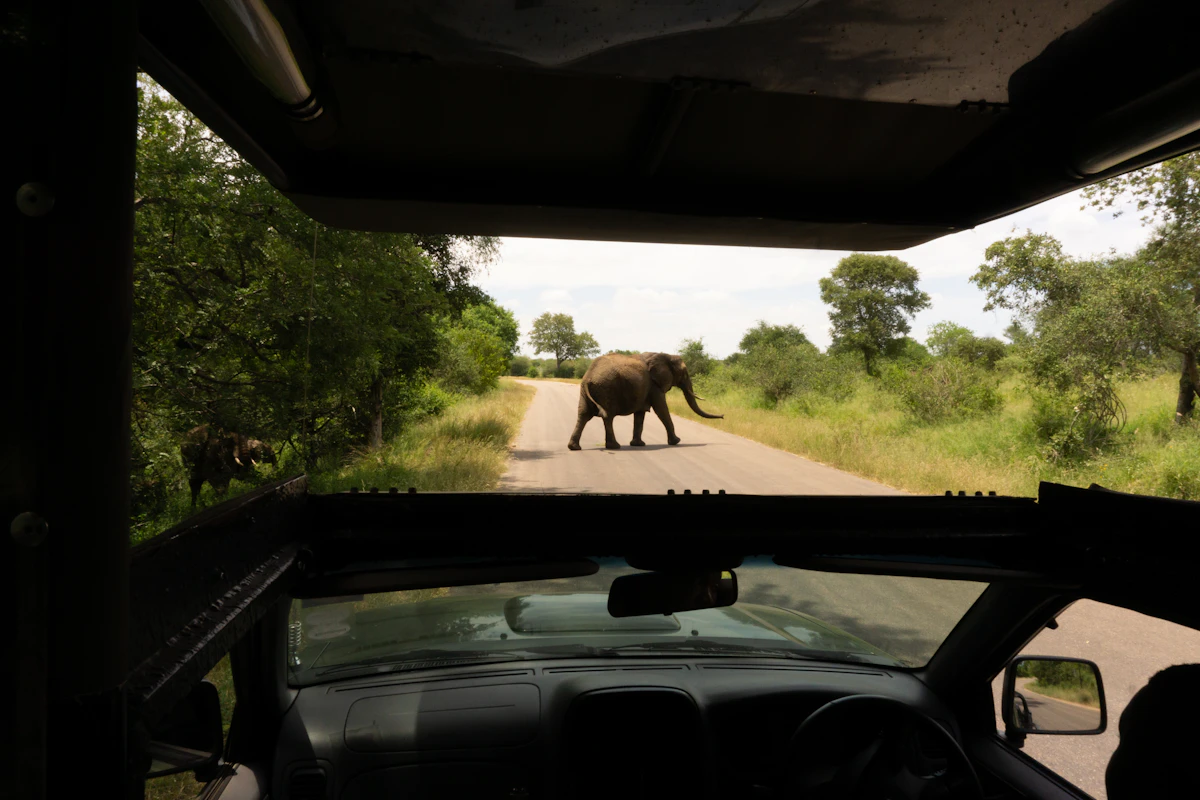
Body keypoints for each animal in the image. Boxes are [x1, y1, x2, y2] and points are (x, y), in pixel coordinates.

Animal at [568, 352, 723, 451]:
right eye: (684, 373)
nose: (722, 416)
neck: (665, 355)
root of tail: (589, 377)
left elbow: (640, 414)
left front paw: (638, 444)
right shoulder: (655, 386)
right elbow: (661, 409)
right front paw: (676, 441)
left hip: (586, 392)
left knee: (583, 415)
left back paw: (574, 447)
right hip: (607, 389)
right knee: (607, 417)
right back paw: (615, 446)